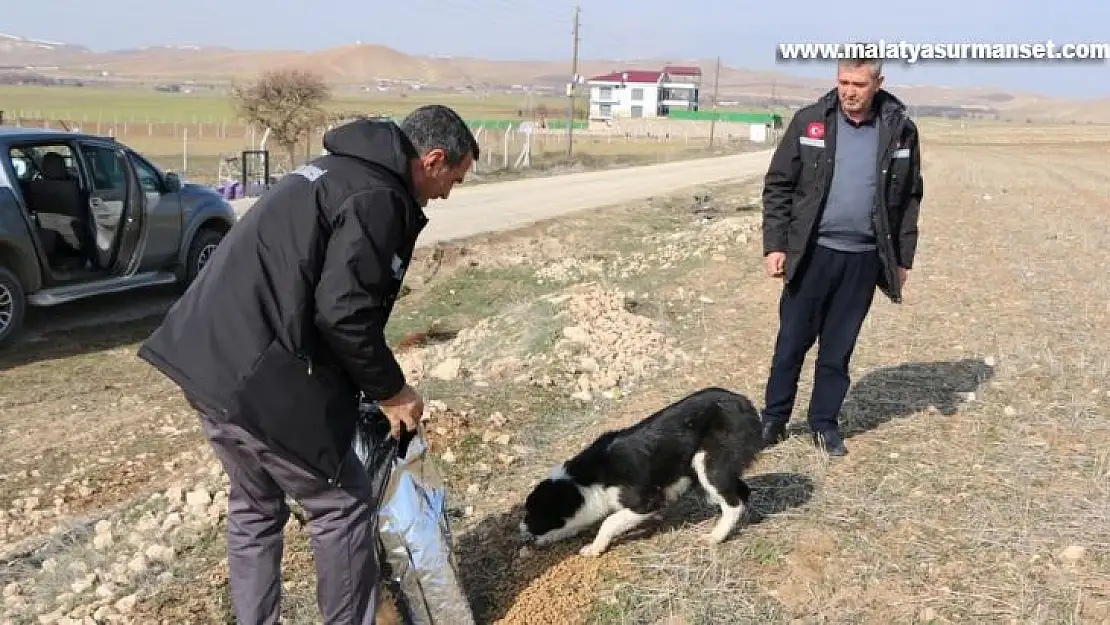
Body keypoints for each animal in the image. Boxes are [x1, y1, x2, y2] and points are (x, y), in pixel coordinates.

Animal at [517, 386, 763, 557]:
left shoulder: (647, 500)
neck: (585, 480)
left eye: (532, 513)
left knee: (734, 503)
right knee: (742, 492)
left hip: (707, 463)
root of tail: (744, 401)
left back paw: (716, 536)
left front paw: (595, 548)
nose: (519, 528)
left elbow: (609, 522)